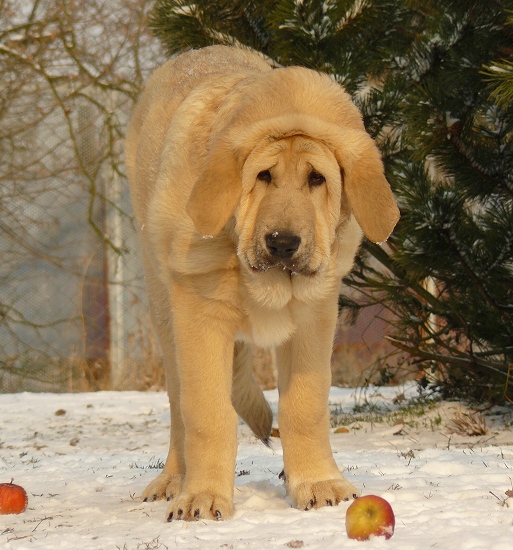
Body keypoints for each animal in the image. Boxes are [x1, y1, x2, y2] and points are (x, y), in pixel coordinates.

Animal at [125, 45, 400, 524]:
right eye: (262, 176)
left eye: (317, 178)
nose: (282, 242)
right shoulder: (199, 315)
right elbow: (207, 414)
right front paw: (202, 497)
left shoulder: (314, 316)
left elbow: (305, 406)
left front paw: (317, 483)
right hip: (163, 308)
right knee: (179, 407)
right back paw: (173, 481)